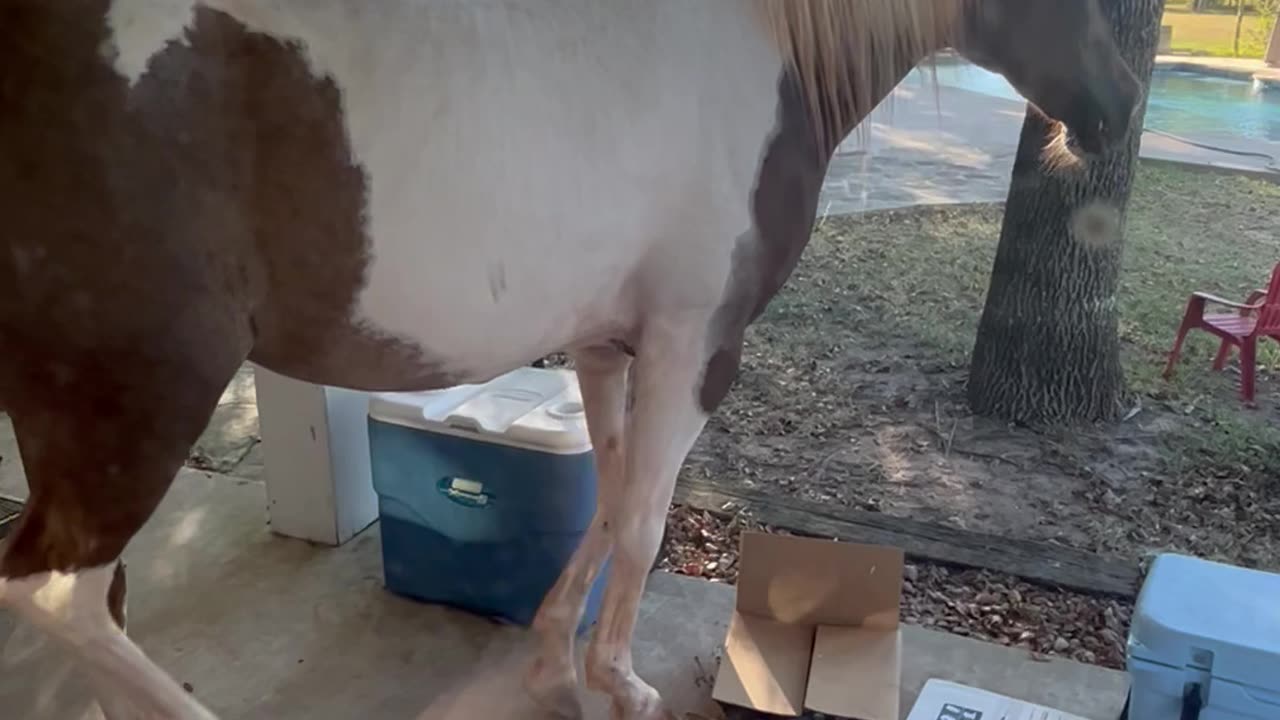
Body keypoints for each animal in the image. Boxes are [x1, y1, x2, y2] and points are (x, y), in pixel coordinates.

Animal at [0, 1, 1141, 717]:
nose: (1124, 103)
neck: (762, 51)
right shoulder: (694, 345)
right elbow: (642, 521)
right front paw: (620, 684)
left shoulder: (604, 344)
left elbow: (607, 497)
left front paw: (554, 664)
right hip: (139, 402)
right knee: (57, 595)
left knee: (100, 604)